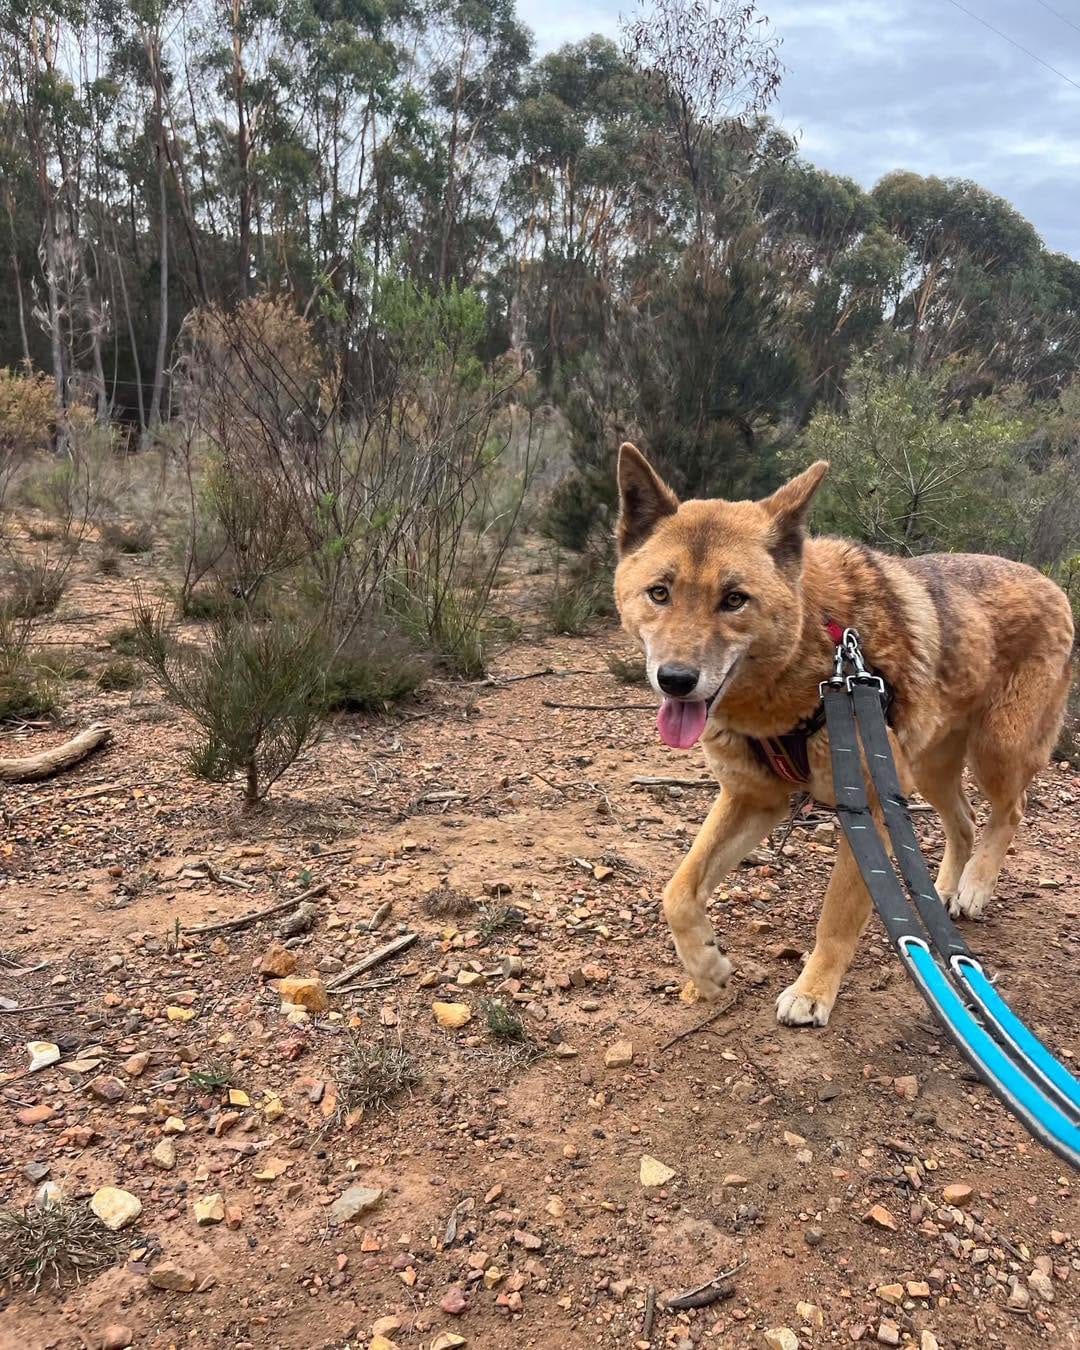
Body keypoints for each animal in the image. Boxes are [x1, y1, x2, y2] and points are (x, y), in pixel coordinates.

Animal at [613, 441, 1075, 1028]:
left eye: (734, 599)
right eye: (659, 593)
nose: (675, 679)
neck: (814, 659)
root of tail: (1050, 581)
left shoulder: (867, 810)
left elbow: (834, 920)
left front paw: (813, 991)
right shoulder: (753, 798)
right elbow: (677, 891)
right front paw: (707, 968)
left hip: (996, 751)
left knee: (1009, 812)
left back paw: (973, 887)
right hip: (927, 770)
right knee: (965, 821)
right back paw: (942, 890)